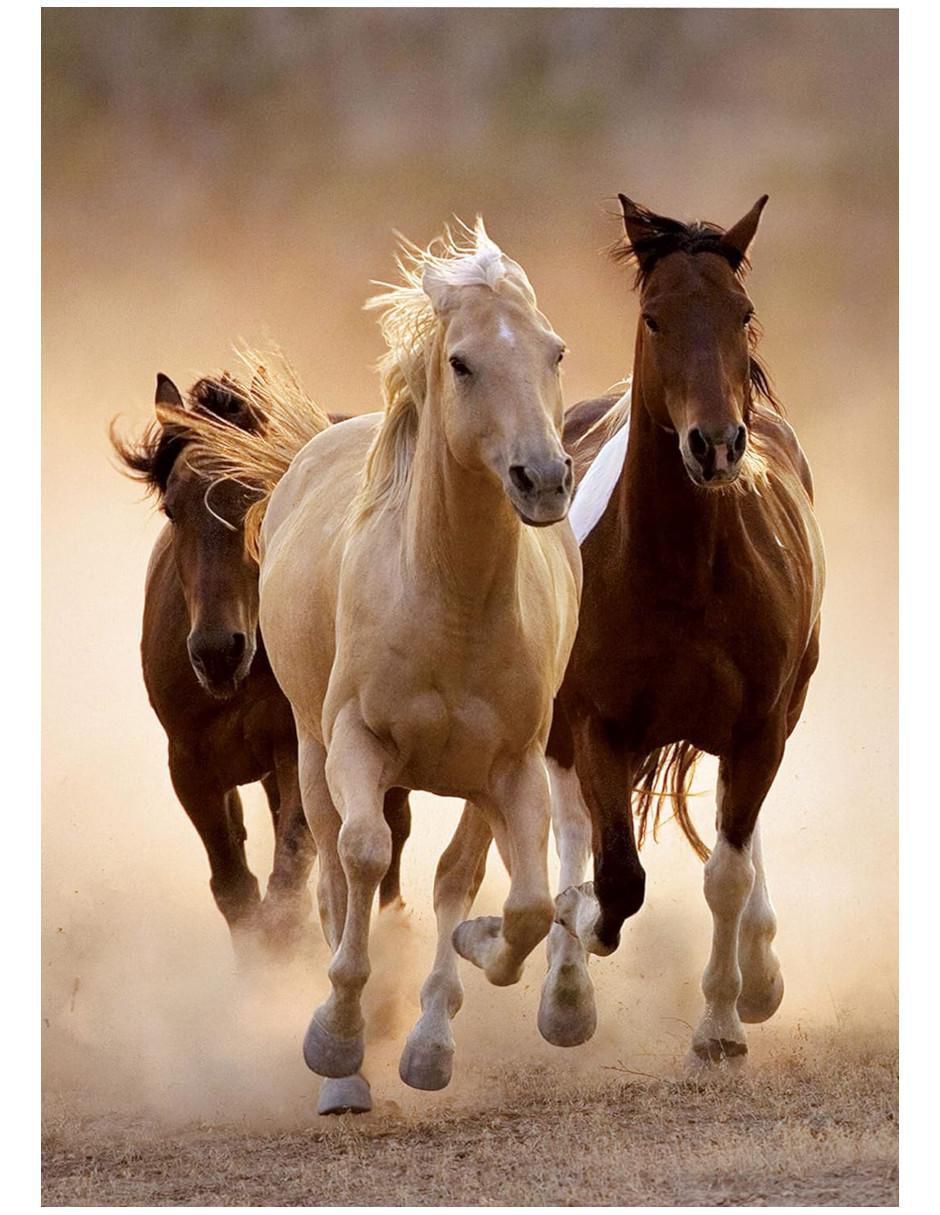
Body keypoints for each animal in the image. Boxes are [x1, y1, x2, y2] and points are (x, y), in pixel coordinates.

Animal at [111, 367, 414, 979]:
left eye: (258, 496)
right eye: (172, 508)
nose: (217, 652)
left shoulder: (298, 752)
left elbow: (289, 880)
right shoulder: (191, 767)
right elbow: (236, 889)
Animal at [179, 221, 582, 1112]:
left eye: (556, 351)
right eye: (462, 361)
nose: (543, 479)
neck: (449, 602)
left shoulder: (512, 766)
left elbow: (520, 902)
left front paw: (469, 969)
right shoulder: (356, 744)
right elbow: (360, 860)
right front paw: (335, 1040)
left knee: (456, 875)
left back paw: (429, 1033)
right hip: (309, 751)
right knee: (336, 873)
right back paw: (348, 1071)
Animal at [547, 194, 825, 1068]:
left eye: (742, 313)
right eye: (655, 317)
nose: (715, 444)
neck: (682, 574)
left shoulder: (759, 727)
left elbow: (726, 873)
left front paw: (723, 1022)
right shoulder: (596, 723)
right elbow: (616, 874)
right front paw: (582, 940)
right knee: (571, 829)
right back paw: (563, 985)